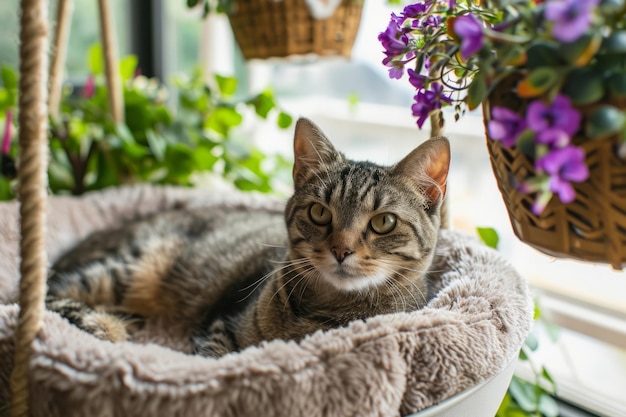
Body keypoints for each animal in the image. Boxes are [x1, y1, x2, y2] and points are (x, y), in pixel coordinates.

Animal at [48, 118, 448, 358]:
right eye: (319, 213)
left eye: (383, 222)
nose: (341, 250)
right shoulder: (222, 323)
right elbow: (214, 360)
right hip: (128, 267)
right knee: (48, 297)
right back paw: (106, 324)